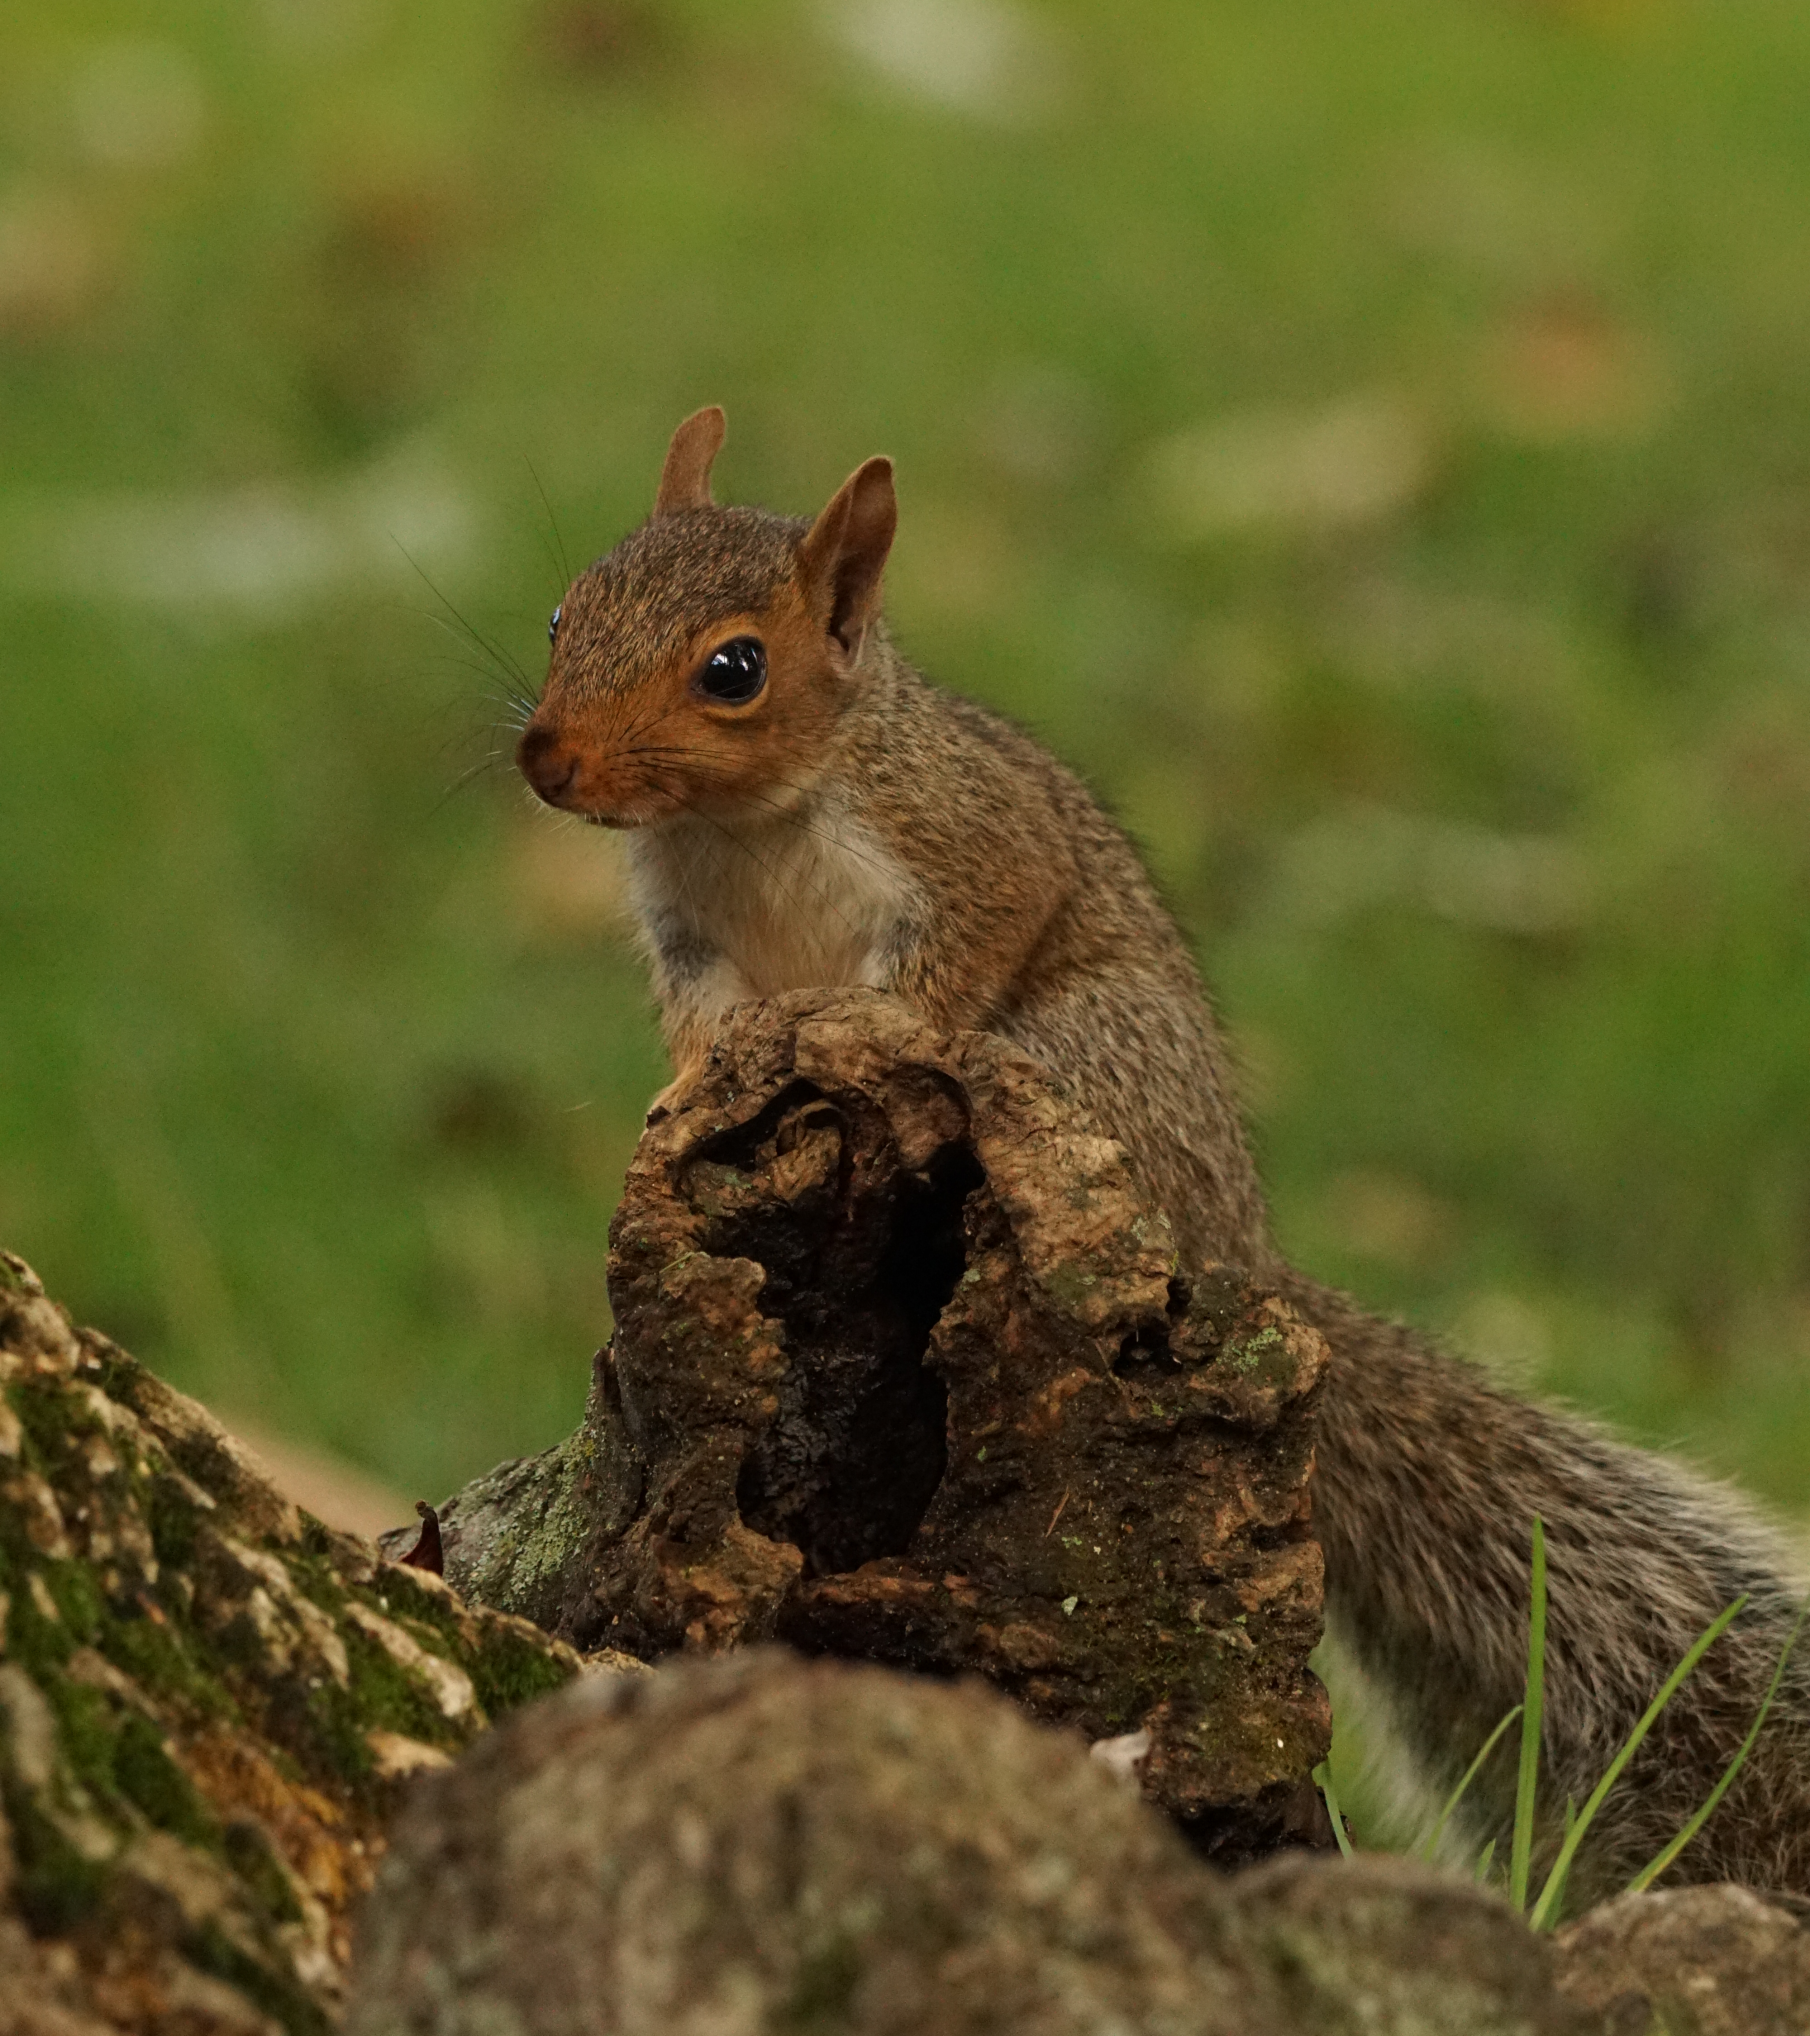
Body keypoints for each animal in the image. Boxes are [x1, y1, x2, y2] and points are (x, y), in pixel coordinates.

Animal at [511, 405, 1807, 1897]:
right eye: (563, 610)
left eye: (734, 669)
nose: (546, 760)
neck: (749, 821)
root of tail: (1242, 1244)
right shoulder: (681, 923)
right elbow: (697, 1018)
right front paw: (691, 1086)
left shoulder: (965, 837)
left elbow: (961, 952)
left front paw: (872, 1024)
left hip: (1095, 1053)